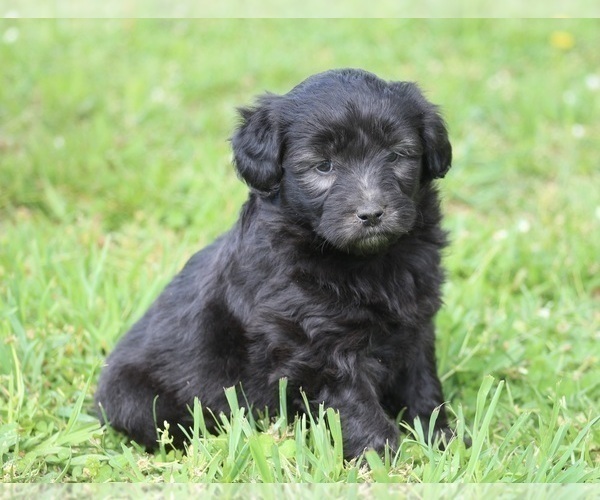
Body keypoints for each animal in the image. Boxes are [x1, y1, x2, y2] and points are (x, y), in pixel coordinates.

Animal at [97, 69, 454, 458]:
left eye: (395, 156)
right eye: (323, 166)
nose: (371, 213)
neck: (365, 261)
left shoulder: (416, 328)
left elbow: (423, 386)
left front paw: (441, 438)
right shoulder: (316, 347)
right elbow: (354, 403)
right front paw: (383, 456)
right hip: (134, 399)